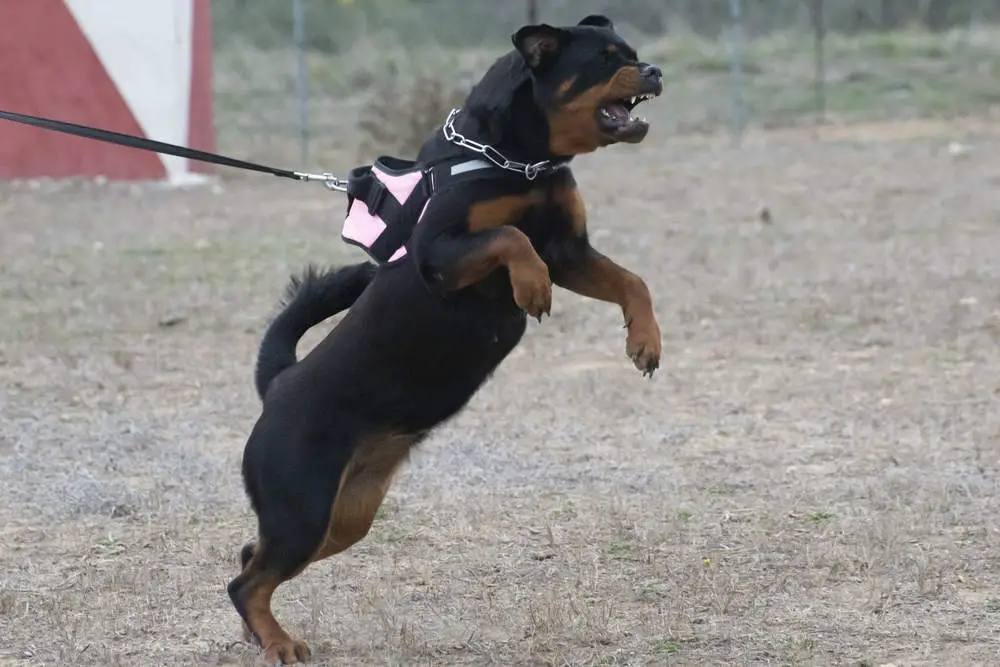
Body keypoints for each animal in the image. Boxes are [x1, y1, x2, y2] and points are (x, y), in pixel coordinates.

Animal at [228, 14, 664, 664]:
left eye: (632, 53)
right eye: (606, 59)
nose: (655, 70)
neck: (521, 161)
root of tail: (278, 385)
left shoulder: (571, 252)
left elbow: (632, 280)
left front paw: (645, 341)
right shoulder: (441, 255)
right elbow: (511, 237)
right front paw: (531, 286)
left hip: (343, 517)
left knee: (249, 559)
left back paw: (260, 636)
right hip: (304, 508)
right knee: (246, 581)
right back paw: (279, 644)